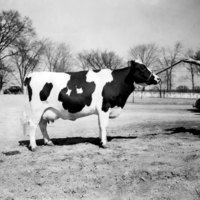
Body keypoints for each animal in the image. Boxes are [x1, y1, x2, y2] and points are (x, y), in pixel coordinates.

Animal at [21, 60, 160, 151]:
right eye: (142, 68)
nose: (158, 78)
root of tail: (31, 75)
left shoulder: (101, 110)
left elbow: (99, 125)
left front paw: (100, 140)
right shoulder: (105, 106)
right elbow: (104, 125)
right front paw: (104, 143)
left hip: (44, 110)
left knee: (42, 125)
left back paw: (49, 142)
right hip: (36, 109)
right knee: (33, 125)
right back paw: (33, 146)